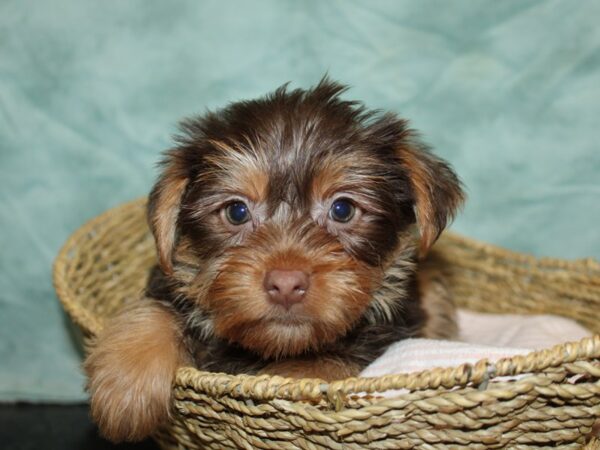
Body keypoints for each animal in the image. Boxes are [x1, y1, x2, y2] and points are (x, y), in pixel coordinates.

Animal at [84, 79, 466, 442]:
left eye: (343, 209)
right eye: (236, 212)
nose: (285, 283)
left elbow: (321, 364)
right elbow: (157, 309)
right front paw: (127, 385)